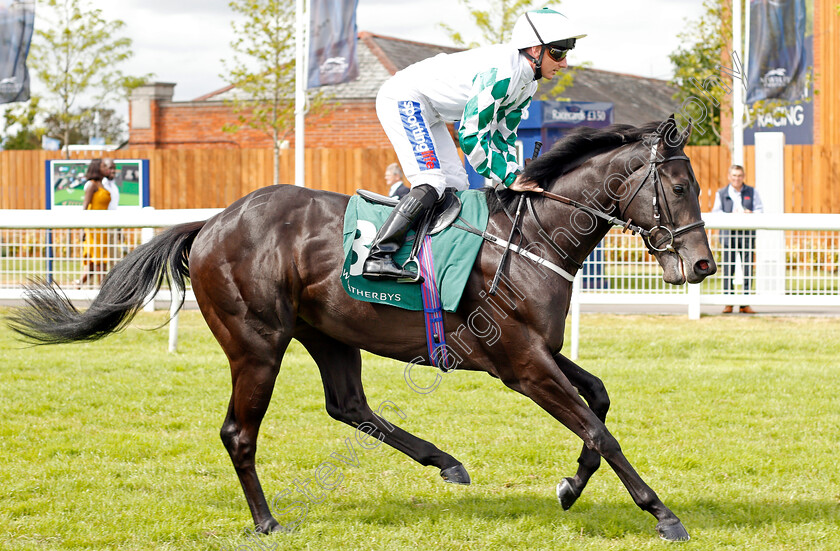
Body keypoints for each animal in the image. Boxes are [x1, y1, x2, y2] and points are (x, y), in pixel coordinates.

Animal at [6, 116, 716, 544]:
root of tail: (212, 222)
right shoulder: (520, 363)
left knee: (348, 404)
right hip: (257, 344)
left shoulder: (535, 351)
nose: (703, 265)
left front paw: (571, 485)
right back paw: (267, 521)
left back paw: (446, 462)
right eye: (681, 185)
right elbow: (598, 426)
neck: (531, 239)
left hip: (330, 332)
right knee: (239, 431)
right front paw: (662, 513)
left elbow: (598, 401)